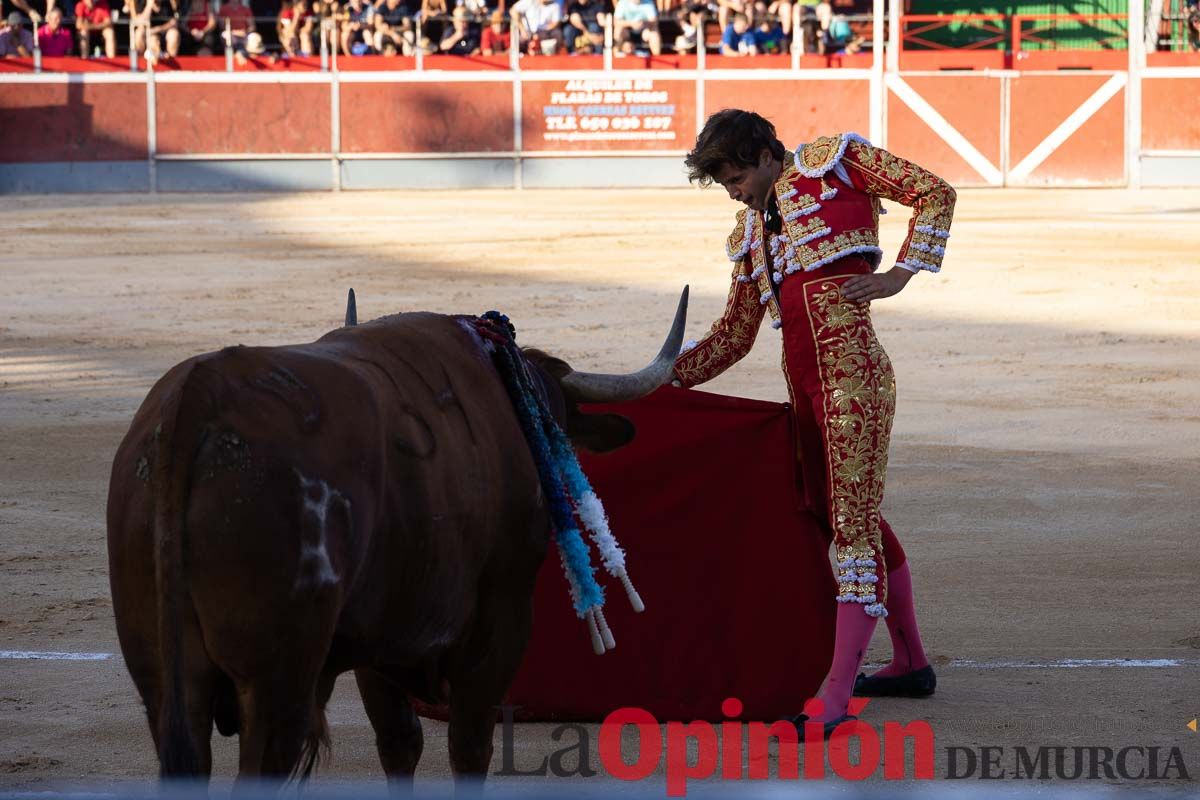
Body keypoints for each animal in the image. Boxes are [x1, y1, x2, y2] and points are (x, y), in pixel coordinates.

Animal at [108, 287, 691, 782]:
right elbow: (468, 746)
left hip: (161, 676)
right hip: (278, 678)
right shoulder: (499, 622)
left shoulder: (378, 642)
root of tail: (201, 394)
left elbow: (399, 742)